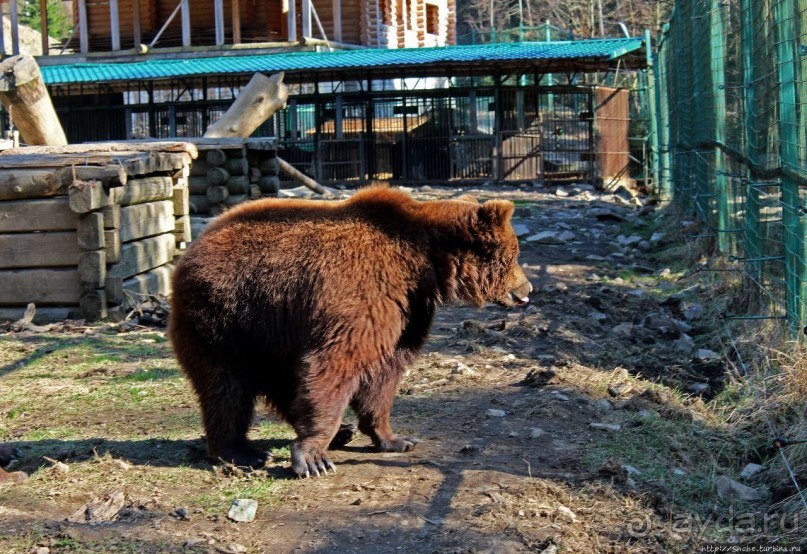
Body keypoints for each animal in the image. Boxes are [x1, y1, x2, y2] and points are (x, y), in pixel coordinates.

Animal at [168, 184, 532, 474]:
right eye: (514, 255)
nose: (527, 289)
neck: (423, 262)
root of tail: (196, 243)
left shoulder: (408, 309)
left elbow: (385, 373)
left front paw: (395, 438)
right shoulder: (363, 291)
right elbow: (337, 361)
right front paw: (312, 457)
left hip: (272, 330)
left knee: (279, 381)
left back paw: (340, 432)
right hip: (227, 316)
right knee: (226, 386)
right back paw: (241, 451)